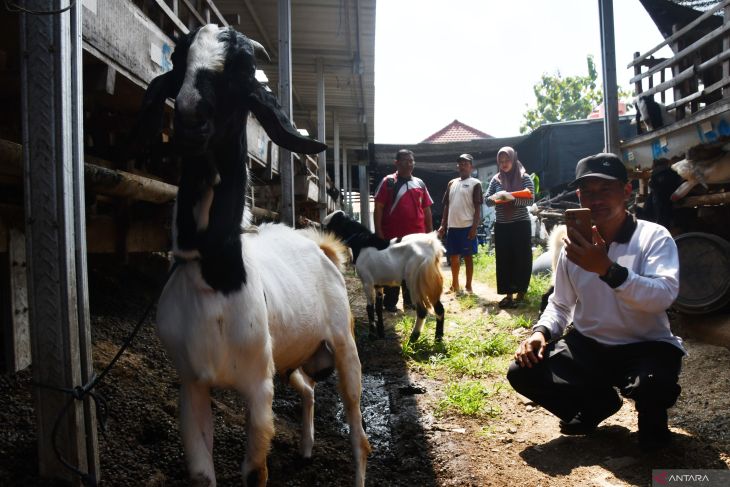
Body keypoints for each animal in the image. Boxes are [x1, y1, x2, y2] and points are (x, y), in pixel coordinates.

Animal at [143, 25, 370, 487]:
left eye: (243, 69)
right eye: (178, 58)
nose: (190, 117)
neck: (216, 275)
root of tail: (322, 247)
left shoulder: (257, 389)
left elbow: (255, 471)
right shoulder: (192, 385)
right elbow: (201, 475)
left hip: (343, 345)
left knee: (358, 427)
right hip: (291, 357)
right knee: (308, 389)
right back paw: (306, 448)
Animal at [322, 210, 444, 344]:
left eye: (329, 226)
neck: (362, 243)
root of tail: (432, 247)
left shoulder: (367, 283)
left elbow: (369, 308)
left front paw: (371, 335)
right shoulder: (378, 285)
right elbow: (378, 308)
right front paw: (381, 333)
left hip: (414, 283)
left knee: (422, 310)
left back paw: (413, 338)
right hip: (429, 282)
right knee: (439, 308)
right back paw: (438, 339)